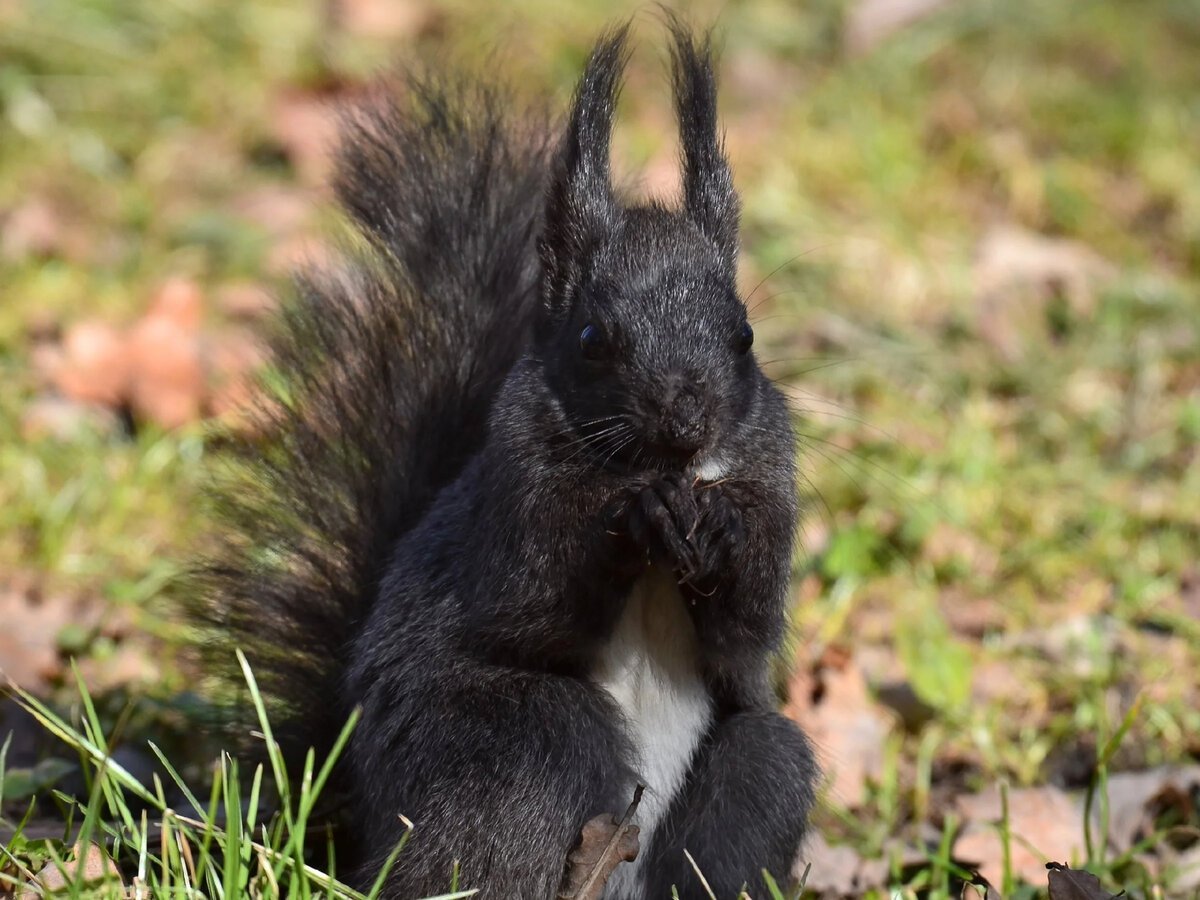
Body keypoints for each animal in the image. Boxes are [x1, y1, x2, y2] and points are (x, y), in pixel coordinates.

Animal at [192, 19, 818, 900]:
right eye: (593, 339)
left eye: (744, 336)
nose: (687, 417)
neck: (662, 468)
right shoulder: (513, 494)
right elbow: (532, 605)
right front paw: (633, 516)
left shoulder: (771, 476)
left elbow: (746, 636)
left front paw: (722, 529)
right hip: (519, 743)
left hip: (758, 772)